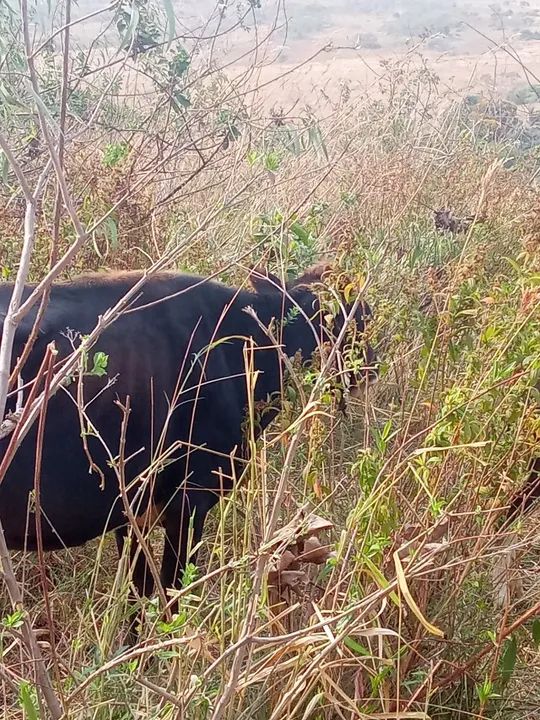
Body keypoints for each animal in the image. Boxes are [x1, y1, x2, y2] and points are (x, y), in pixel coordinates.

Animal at [0, 263, 378, 614]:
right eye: (340, 316)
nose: (371, 366)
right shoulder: (189, 502)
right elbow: (171, 594)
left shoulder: (131, 513)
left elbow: (138, 595)